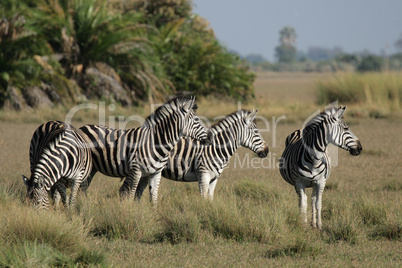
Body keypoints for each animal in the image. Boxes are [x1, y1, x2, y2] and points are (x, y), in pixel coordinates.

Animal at [78, 96, 210, 203]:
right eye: (196, 120)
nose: (210, 137)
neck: (156, 142)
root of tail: (82, 127)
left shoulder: (155, 173)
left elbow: (154, 198)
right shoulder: (136, 171)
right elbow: (131, 195)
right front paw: (128, 214)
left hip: (93, 168)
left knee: (83, 189)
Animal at [137, 109, 268, 199]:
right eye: (256, 132)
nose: (267, 151)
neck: (215, 149)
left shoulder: (214, 179)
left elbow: (210, 199)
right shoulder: (203, 176)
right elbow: (204, 199)